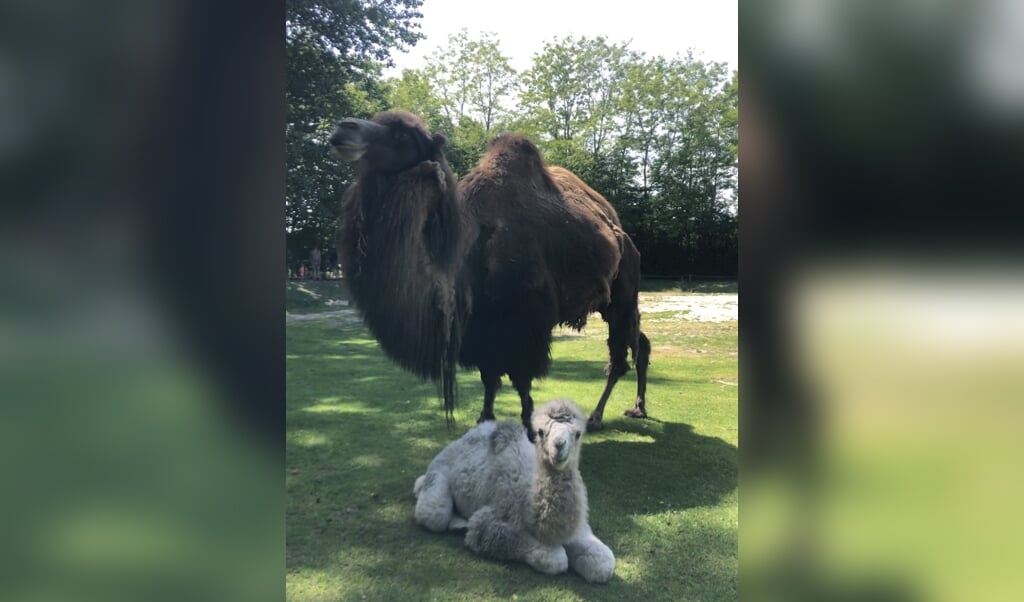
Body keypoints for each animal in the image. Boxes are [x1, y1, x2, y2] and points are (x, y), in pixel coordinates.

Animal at [329, 110, 647, 440]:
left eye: (403, 134)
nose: (343, 128)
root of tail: (620, 231)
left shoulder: (525, 325)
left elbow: (521, 381)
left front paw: (528, 427)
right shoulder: (480, 330)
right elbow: (490, 379)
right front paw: (484, 420)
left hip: (623, 292)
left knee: (621, 356)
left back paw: (597, 417)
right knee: (640, 343)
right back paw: (636, 408)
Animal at [411, 397, 610, 581]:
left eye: (577, 434)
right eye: (541, 432)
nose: (559, 446)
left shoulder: (579, 527)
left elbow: (602, 563)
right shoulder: (490, 520)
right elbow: (556, 559)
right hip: (439, 472)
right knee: (433, 514)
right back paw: (457, 523)